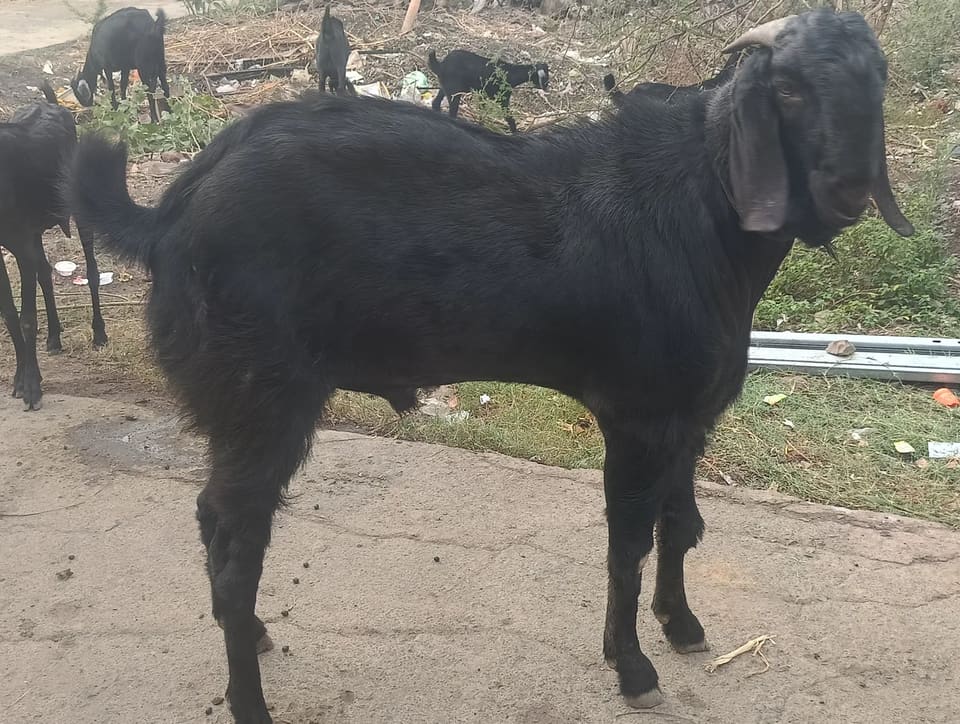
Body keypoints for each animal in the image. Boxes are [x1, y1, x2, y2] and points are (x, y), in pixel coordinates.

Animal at [1, 83, 107, 410]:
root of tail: (53, 105)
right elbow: (9, 314)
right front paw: (20, 378)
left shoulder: (20, 244)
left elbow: (26, 318)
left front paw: (31, 386)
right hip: (36, 231)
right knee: (46, 275)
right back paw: (54, 337)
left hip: (79, 212)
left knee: (92, 271)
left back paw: (99, 333)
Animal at [70, 10, 913, 722]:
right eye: (790, 90)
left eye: (876, 85)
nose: (848, 190)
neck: (702, 209)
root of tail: (169, 213)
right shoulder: (636, 416)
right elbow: (628, 543)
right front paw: (632, 667)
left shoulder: (690, 416)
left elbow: (680, 526)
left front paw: (680, 625)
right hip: (261, 398)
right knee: (235, 543)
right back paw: (250, 697)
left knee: (216, 522)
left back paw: (251, 633)